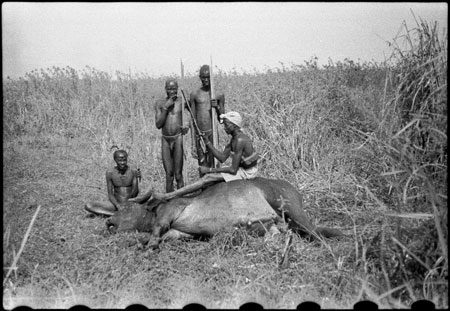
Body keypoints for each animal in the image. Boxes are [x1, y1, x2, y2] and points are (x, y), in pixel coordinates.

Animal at [106, 178, 344, 249]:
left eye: (126, 208)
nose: (109, 222)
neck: (152, 212)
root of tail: (294, 189)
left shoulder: (171, 209)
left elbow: (157, 231)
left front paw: (149, 244)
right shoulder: (180, 232)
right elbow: (164, 235)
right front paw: (141, 242)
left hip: (289, 207)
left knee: (316, 233)